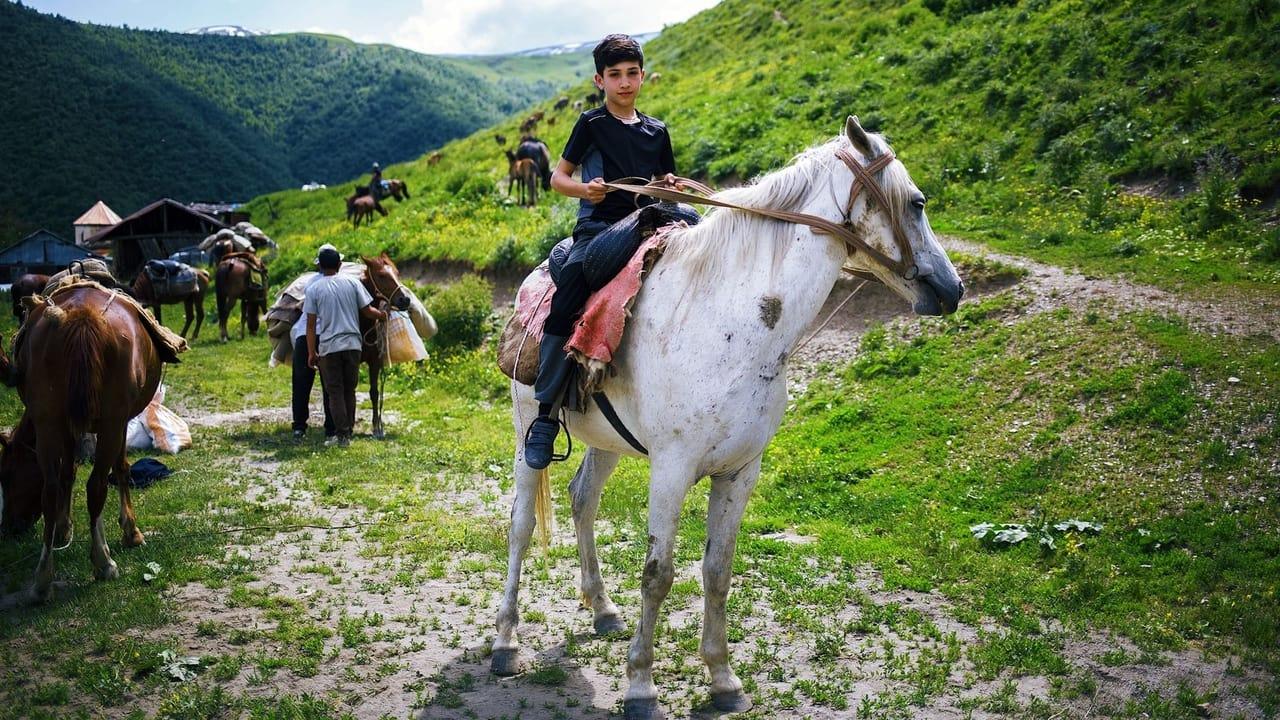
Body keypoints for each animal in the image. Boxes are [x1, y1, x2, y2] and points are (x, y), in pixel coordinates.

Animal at [0, 283, 161, 597]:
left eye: (7, 476)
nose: (10, 527)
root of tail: (83, 317)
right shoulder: (117, 423)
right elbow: (119, 467)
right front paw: (131, 532)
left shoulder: (68, 427)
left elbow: (68, 472)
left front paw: (63, 527)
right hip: (110, 423)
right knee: (96, 485)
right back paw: (103, 562)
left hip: (49, 422)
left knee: (50, 491)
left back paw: (43, 578)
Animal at [488, 114, 962, 712]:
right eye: (918, 203)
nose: (952, 289)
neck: (732, 319)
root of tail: (534, 279)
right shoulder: (671, 468)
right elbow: (658, 573)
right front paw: (641, 685)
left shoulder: (740, 471)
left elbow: (717, 570)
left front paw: (722, 678)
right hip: (527, 433)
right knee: (521, 525)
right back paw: (505, 642)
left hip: (606, 441)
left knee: (582, 500)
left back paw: (602, 610)